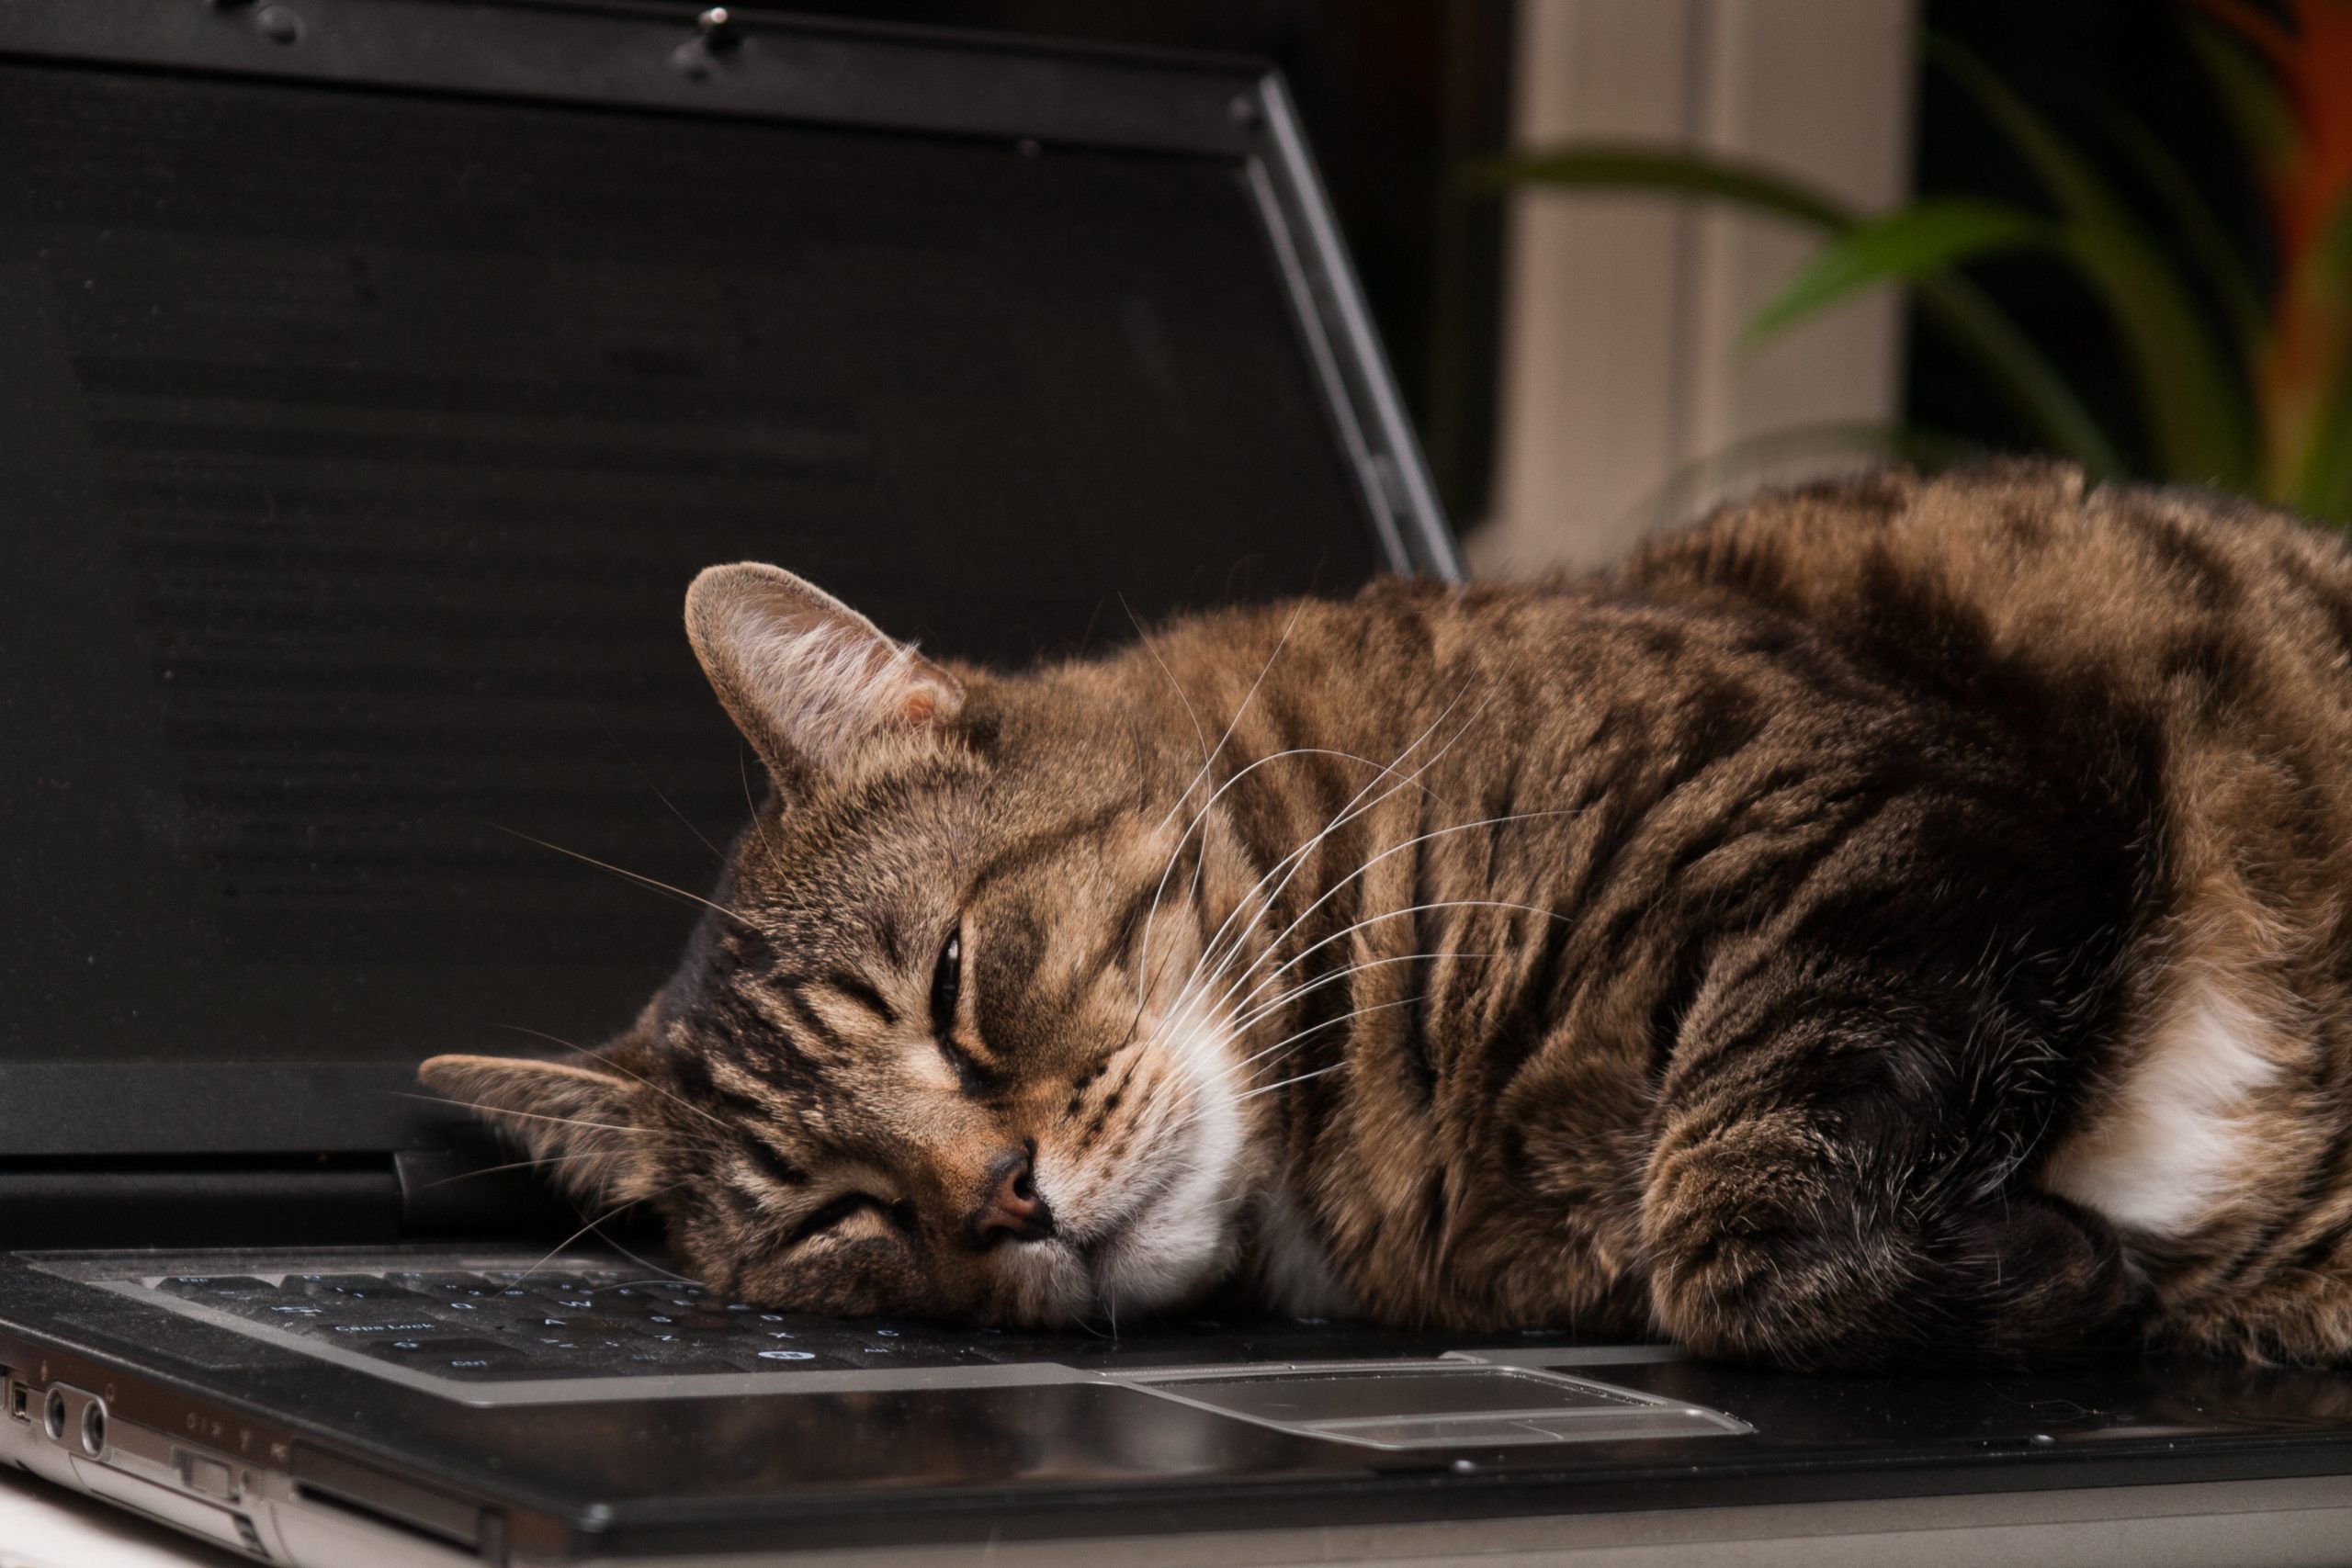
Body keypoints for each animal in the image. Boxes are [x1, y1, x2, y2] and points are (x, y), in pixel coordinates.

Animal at [423, 465, 2352, 1372]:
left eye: (956, 984)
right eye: (842, 1214)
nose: (1004, 1199)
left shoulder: (1890, 794)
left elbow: (1725, 1197)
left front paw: (2075, 1269)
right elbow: (1715, 1233)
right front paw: (2070, 1271)